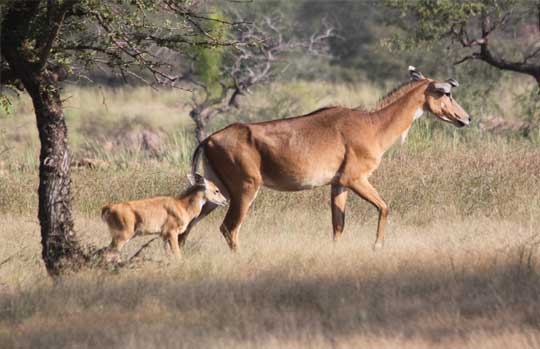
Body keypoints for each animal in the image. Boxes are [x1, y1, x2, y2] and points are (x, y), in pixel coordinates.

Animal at [184, 66, 470, 250]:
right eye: (446, 93)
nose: (466, 118)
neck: (373, 125)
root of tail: (208, 140)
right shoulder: (355, 179)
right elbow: (384, 207)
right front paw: (377, 245)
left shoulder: (338, 185)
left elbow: (338, 225)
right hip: (245, 188)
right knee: (229, 228)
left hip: (217, 192)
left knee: (189, 223)